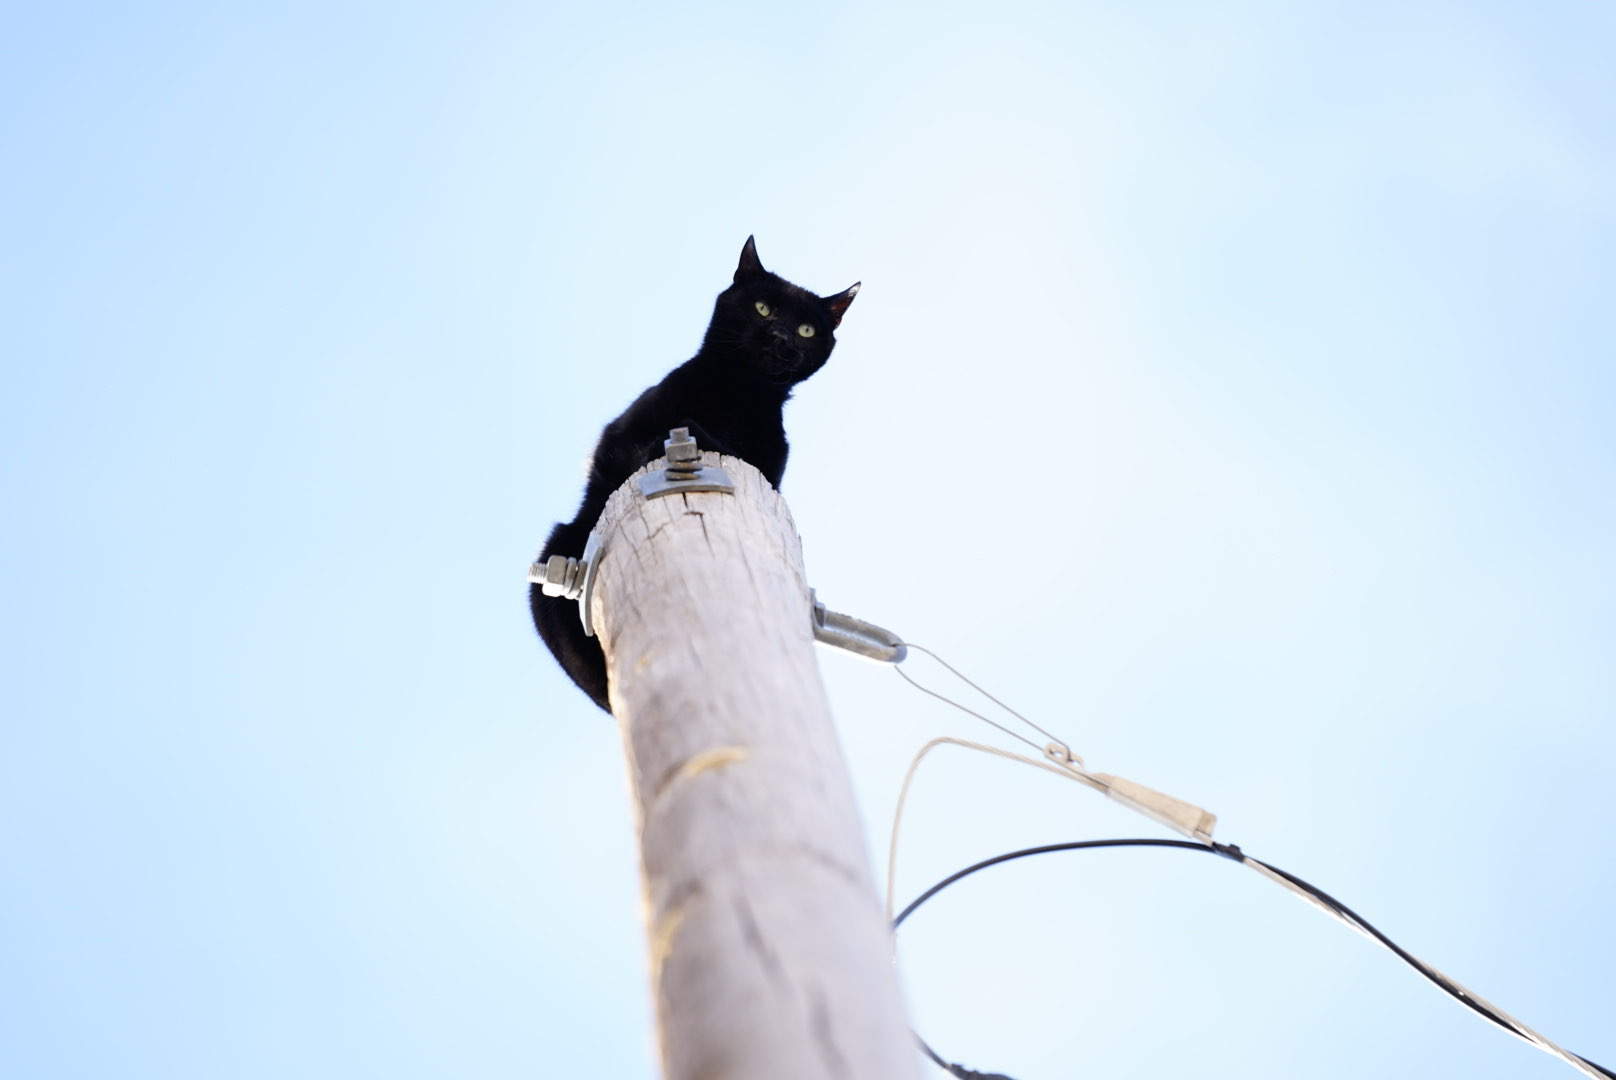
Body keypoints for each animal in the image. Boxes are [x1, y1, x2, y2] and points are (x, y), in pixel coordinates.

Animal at [530, 236, 859, 708]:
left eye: (806, 330)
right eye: (762, 308)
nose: (779, 334)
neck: (736, 395)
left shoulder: (769, 471)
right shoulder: (618, 440)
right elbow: (642, 444)